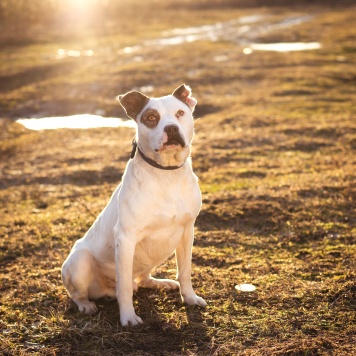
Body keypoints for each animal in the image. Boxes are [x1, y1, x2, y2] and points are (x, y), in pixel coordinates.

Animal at [60, 83, 206, 326]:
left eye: (180, 113)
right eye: (151, 117)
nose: (171, 128)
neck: (166, 174)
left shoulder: (187, 231)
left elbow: (185, 270)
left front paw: (190, 298)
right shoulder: (126, 238)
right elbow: (125, 287)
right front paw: (128, 317)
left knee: (141, 278)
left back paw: (160, 283)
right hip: (79, 261)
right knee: (79, 293)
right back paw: (86, 305)